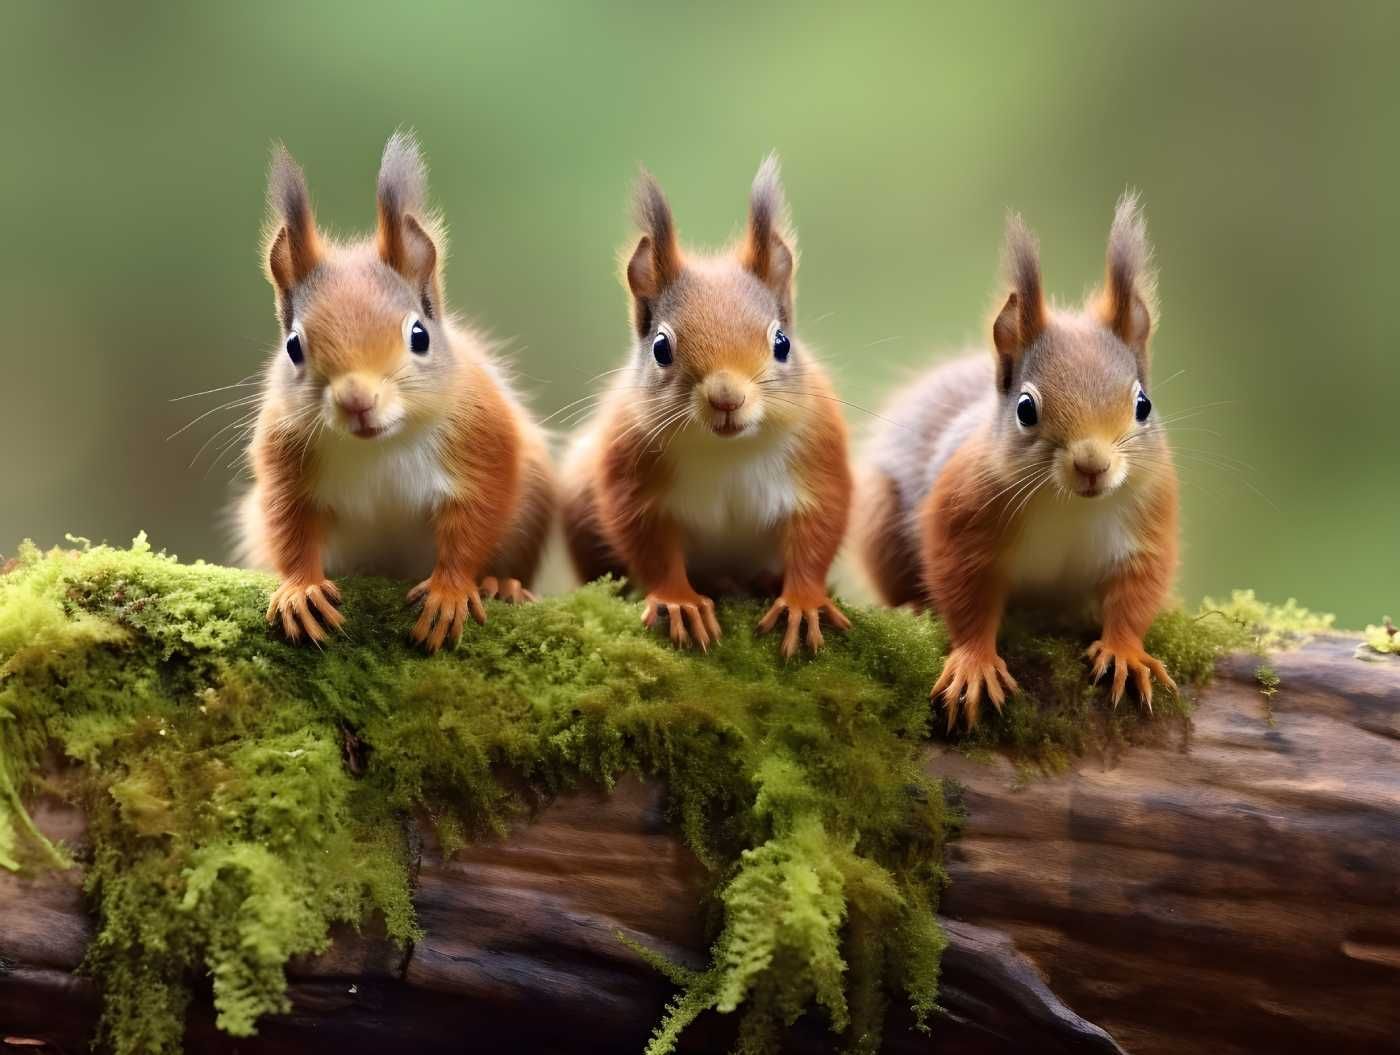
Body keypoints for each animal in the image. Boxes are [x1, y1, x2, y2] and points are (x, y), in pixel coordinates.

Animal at [236, 132, 555, 652]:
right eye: (293, 346)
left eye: (419, 335)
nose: (357, 401)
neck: (380, 447)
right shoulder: (284, 456)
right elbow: (290, 526)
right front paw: (301, 590)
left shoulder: (483, 439)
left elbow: (475, 521)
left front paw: (450, 592)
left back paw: (502, 584)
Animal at [559, 156, 852, 656]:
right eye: (661, 348)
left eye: (782, 342)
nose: (726, 398)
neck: (726, 451)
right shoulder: (629, 470)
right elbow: (649, 544)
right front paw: (679, 601)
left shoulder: (819, 455)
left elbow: (817, 530)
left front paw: (804, 600)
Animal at [856, 194, 1178, 729]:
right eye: (1026, 408)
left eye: (1144, 405)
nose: (1093, 465)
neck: (1070, 504)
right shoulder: (962, 516)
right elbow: (964, 593)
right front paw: (974, 663)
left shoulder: (1148, 518)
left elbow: (1137, 591)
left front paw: (1125, 652)